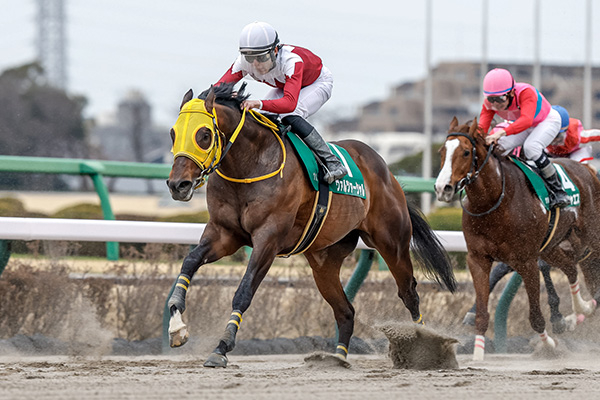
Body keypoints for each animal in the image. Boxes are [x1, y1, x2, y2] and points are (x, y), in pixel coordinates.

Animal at [164, 83, 454, 368]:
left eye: (203, 135)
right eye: (173, 133)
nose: (178, 185)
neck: (250, 165)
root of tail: (388, 173)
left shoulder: (268, 239)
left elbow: (244, 290)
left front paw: (222, 347)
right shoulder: (224, 234)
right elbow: (190, 261)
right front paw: (176, 326)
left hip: (392, 243)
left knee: (408, 292)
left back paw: (425, 347)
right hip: (324, 261)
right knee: (346, 311)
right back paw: (337, 358)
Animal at [436, 117, 600, 360]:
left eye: (466, 152)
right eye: (441, 151)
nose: (442, 188)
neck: (495, 202)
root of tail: (587, 169)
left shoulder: (526, 261)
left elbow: (536, 317)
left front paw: (549, 346)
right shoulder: (477, 259)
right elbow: (482, 314)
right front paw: (477, 355)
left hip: (591, 237)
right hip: (552, 247)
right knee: (571, 269)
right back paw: (582, 309)